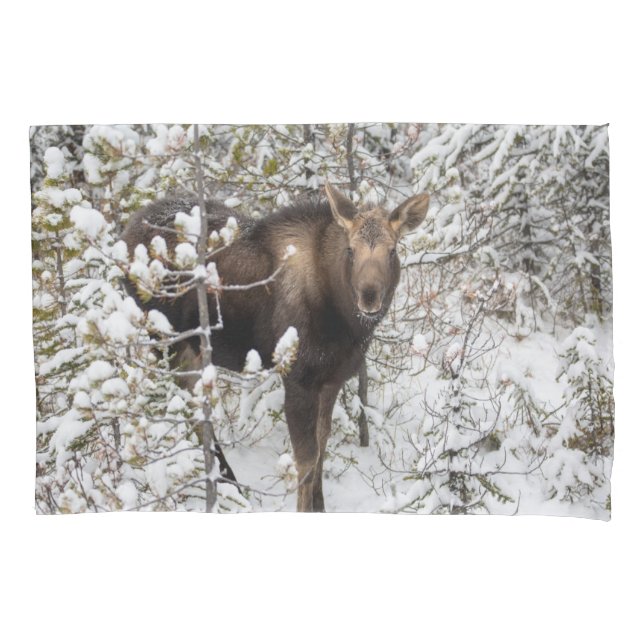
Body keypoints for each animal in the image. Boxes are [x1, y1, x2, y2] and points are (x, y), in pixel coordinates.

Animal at [121, 183, 429, 511]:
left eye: (392, 250)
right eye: (350, 250)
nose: (369, 297)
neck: (345, 323)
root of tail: (124, 235)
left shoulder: (331, 379)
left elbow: (322, 445)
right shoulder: (298, 377)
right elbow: (306, 459)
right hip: (168, 341)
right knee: (189, 410)